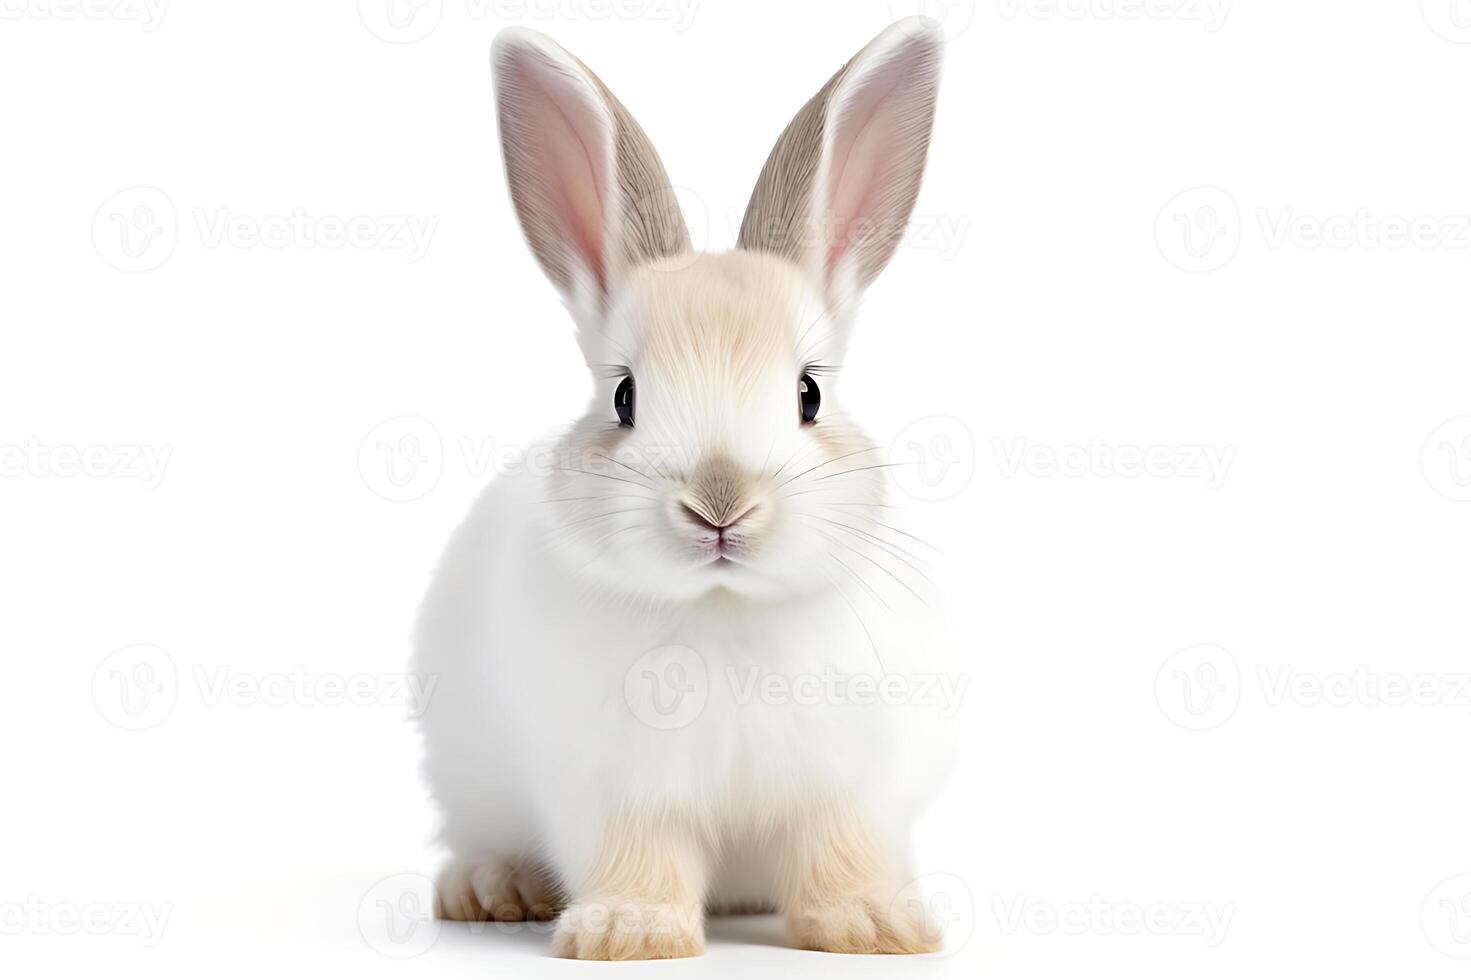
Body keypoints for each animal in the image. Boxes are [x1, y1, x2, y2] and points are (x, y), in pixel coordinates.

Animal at [420, 19, 959, 959]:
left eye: (808, 395)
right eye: (624, 396)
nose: (720, 505)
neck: (723, 609)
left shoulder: (844, 785)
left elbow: (839, 852)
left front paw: (873, 925)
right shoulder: (617, 793)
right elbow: (639, 857)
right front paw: (626, 935)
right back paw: (491, 888)